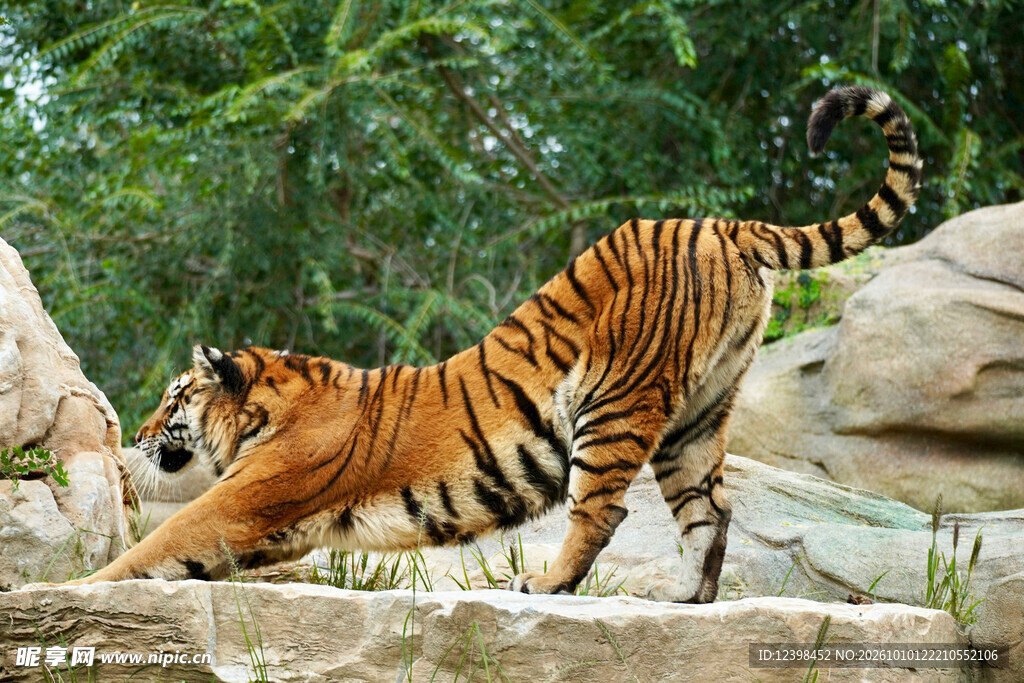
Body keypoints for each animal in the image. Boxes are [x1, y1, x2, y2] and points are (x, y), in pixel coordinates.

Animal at [60, 86, 921, 602]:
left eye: (174, 397)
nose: (139, 433)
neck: (270, 404)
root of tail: (722, 223)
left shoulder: (241, 503)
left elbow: (151, 545)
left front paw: (68, 591)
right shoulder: (271, 529)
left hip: (615, 402)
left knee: (602, 510)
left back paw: (546, 585)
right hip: (698, 414)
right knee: (711, 508)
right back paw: (686, 599)